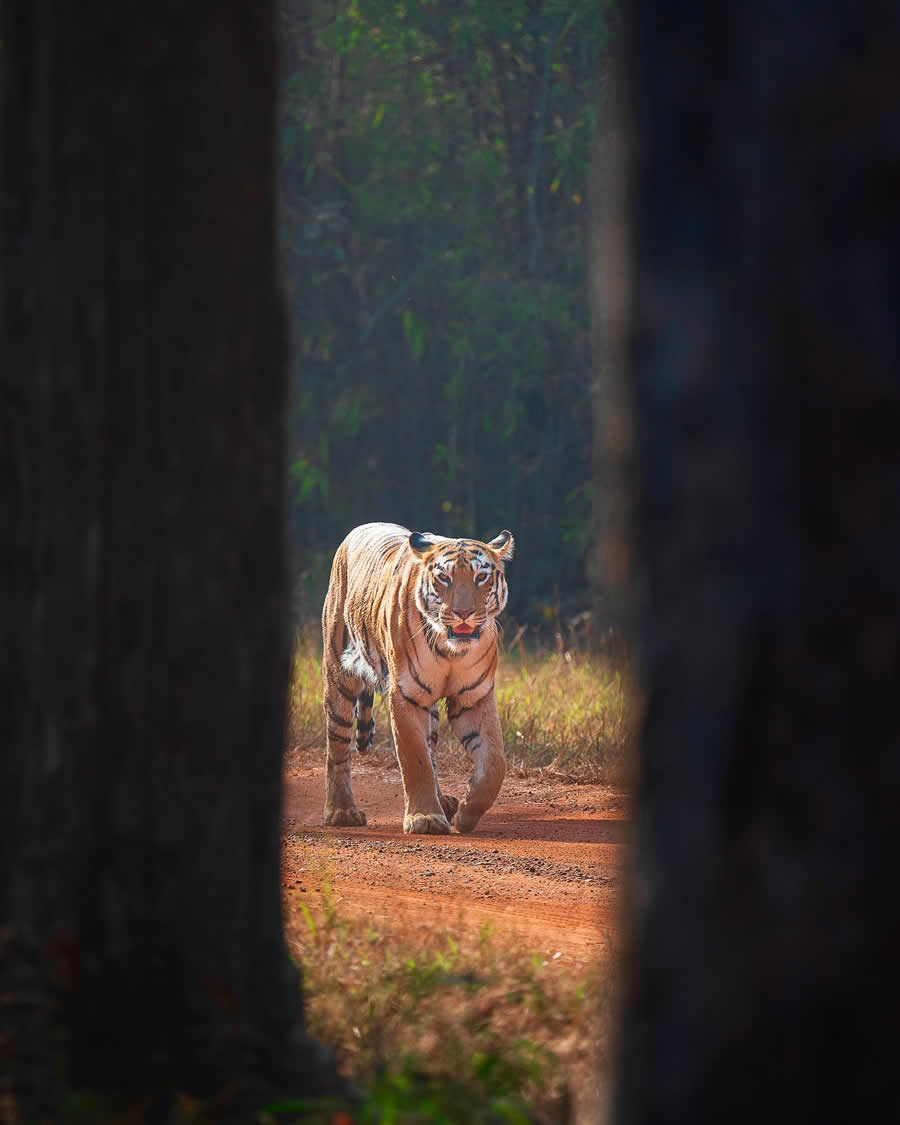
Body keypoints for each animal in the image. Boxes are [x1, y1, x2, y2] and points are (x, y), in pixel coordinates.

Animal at [321, 522, 513, 832]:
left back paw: (445, 802)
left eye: (481, 577)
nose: (463, 613)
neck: (452, 652)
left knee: (433, 750)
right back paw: (341, 812)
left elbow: (495, 764)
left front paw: (467, 814)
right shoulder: (406, 695)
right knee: (337, 747)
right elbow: (415, 759)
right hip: (339, 673)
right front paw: (425, 818)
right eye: (444, 577)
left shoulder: (474, 698)